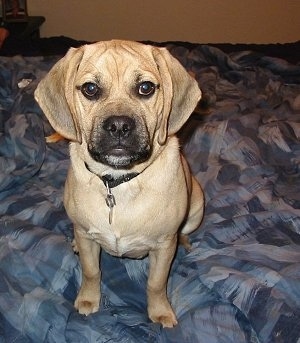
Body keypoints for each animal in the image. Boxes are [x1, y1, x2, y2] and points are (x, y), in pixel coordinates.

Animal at [34, 40, 204, 328]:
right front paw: (88, 299)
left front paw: (160, 312)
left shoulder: (163, 247)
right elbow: (91, 271)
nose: (119, 126)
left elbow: (156, 284)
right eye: (90, 89)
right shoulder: (87, 236)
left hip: (197, 207)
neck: (117, 182)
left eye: (146, 87)